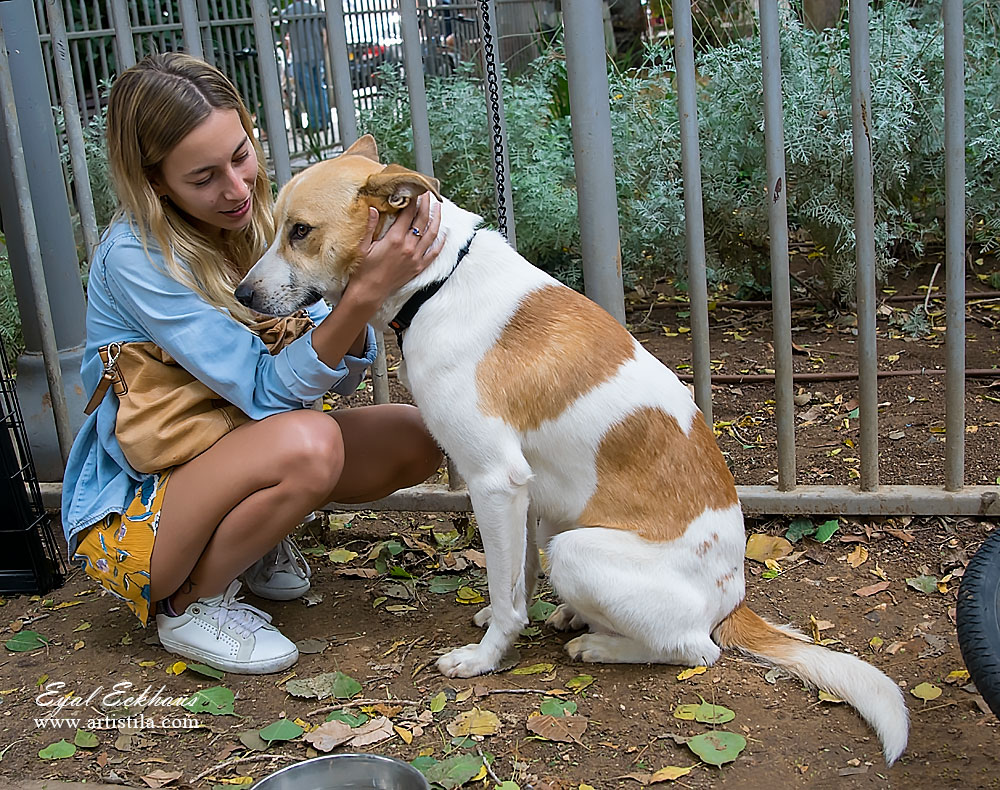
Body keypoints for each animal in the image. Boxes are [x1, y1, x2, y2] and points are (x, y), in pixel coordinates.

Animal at [238, 136, 912, 768]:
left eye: (300, 232)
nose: (242, 295)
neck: (436, 281)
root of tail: (735, 595)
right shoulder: (518, 492)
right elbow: (512, 580)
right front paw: (501, 618)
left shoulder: (495, 480)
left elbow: (507, 594)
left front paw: (486, 657)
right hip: (559, 523)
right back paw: (574, 618)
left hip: (577, 550)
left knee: (697, 649)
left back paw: (599, 644)